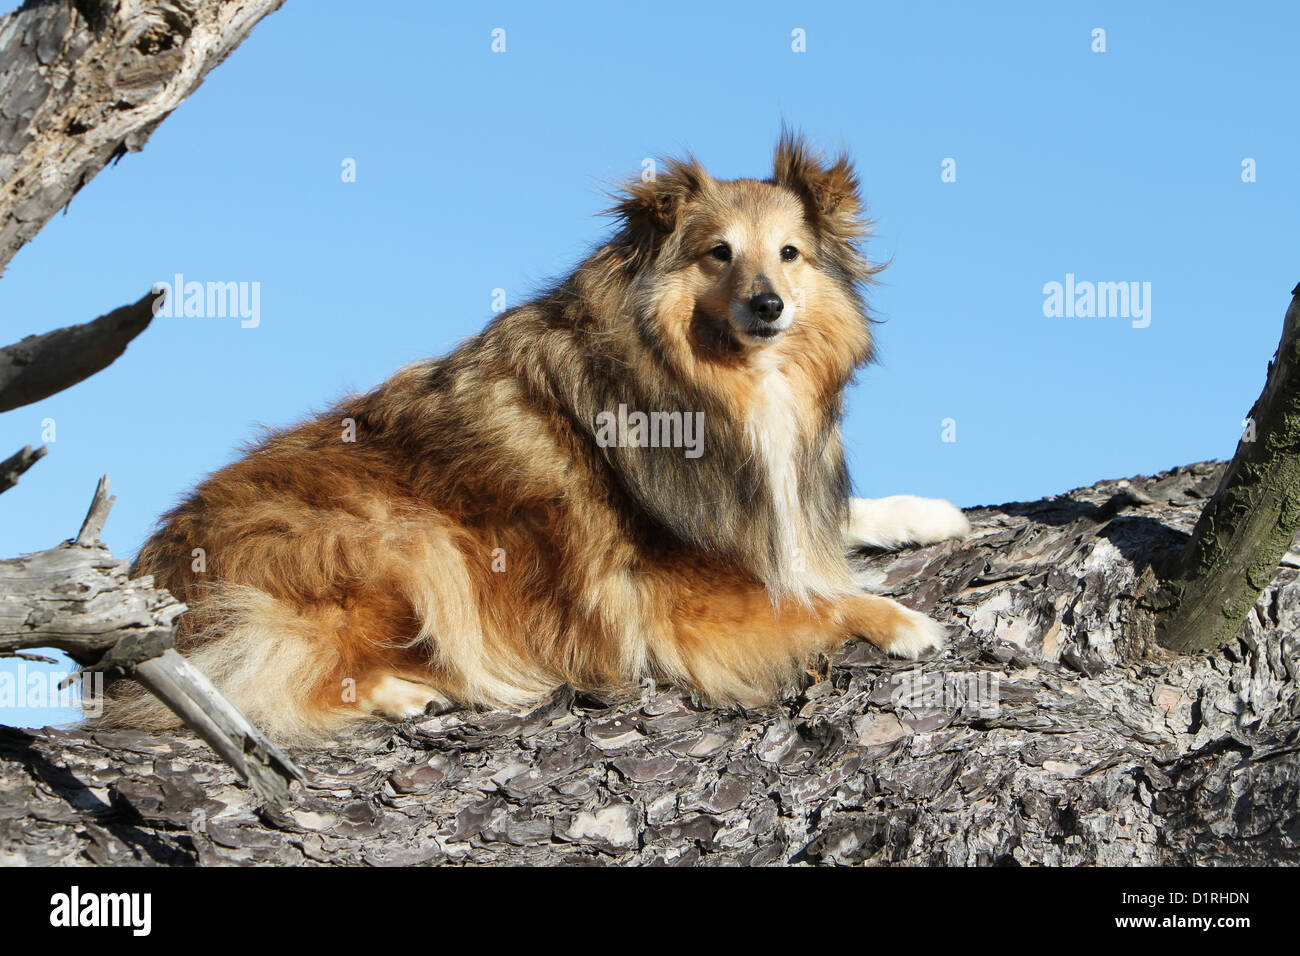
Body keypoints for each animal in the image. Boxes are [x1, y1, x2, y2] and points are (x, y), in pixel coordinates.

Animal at [101, 132, 972, 749]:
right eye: (717, 252)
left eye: (790, 254)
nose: (768, 306)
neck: (709, 384)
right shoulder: (672, 605)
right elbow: (815, 598)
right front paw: (901, 621)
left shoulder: (761, 503)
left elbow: (829, 521)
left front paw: (927, 513)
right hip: (406, 539)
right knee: (271, 684)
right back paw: (406, 690)